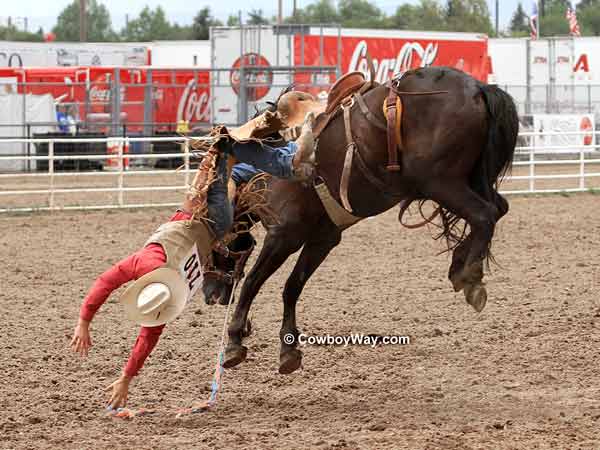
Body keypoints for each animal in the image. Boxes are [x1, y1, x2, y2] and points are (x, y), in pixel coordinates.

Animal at [204, 67, 516, 374]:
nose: (209, 294)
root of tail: (478, 87)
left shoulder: (283, 235)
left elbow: (253, 282)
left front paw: (233, 342)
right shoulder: (322, 239)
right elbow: (292, 286)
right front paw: (288, 350)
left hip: (441, 183)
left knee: (484, 214)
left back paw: (470, 278)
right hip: (470, 179)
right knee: (498, 208)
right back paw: (458, 266)